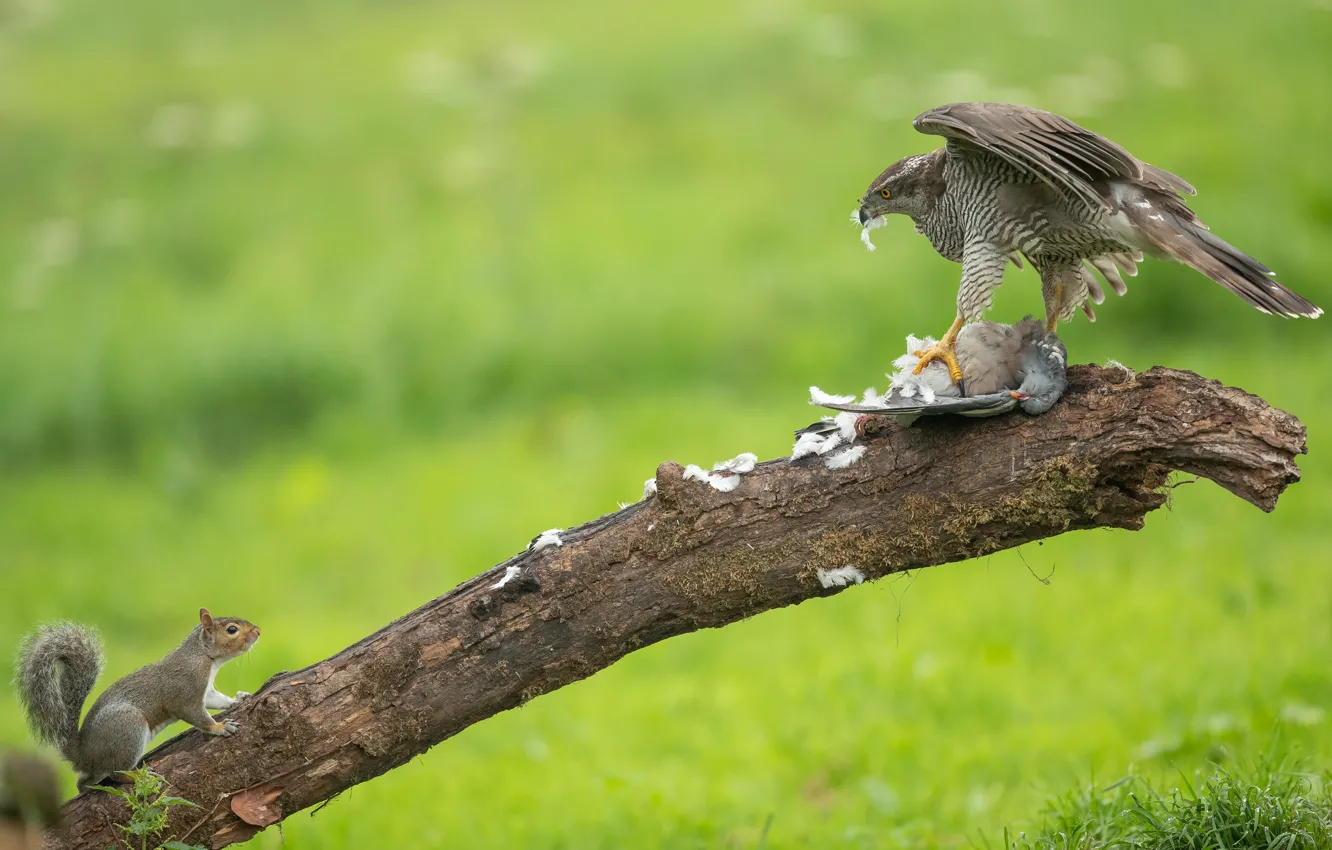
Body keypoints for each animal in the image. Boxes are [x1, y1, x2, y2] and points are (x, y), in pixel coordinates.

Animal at [13, 609, 261, 793]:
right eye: (232, 630)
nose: (258, 631)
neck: (202, 656)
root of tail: (83, 753)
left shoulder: (206, 691)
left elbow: (216, 700)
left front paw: (237, 699)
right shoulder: (185, 691)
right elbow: (196, 714)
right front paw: (220, 727)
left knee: (83, 782)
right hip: (128, 728)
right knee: (115, 773)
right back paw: (136, 776)